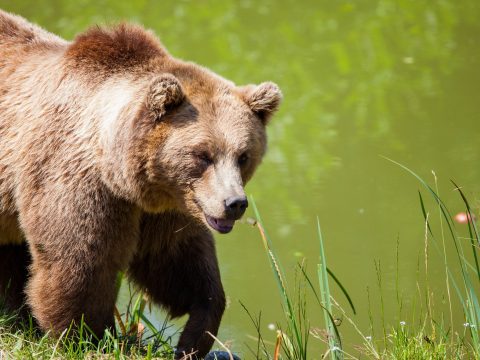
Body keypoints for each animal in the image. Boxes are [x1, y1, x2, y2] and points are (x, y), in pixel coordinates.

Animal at [0, 9, 282, 358]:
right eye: (202, 155)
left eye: (243, 155)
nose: (234, 203)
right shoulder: (77, 183)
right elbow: (81, 265)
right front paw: (90, 337)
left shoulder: (166, 207)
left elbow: (177, 263)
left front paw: (195, 334)